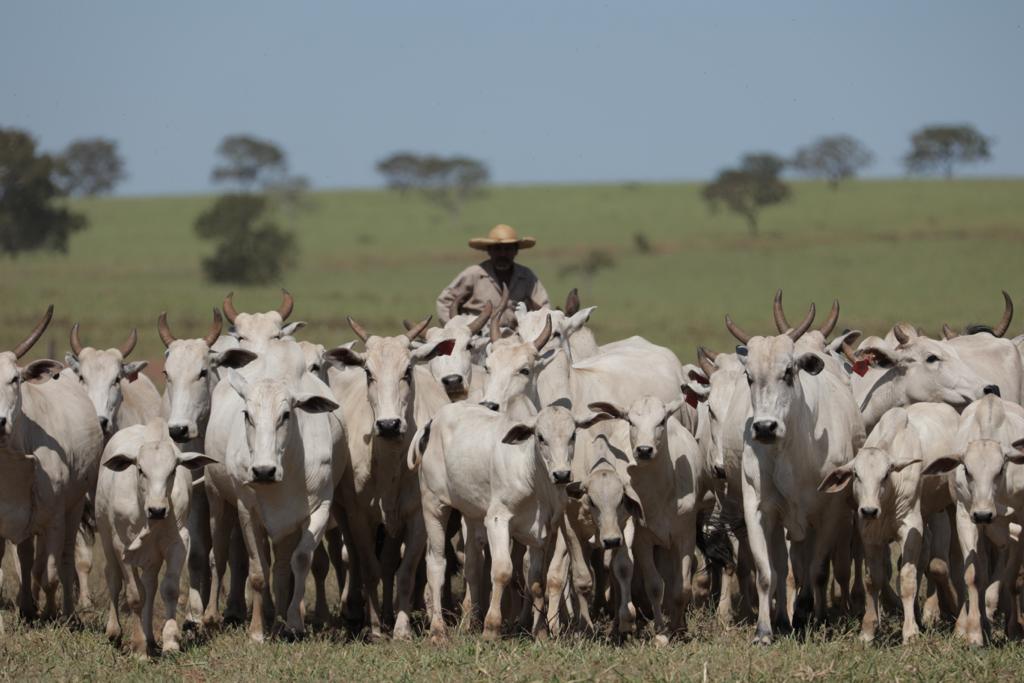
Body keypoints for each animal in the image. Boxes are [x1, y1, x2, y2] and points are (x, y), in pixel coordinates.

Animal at [97, 417, 216, 655]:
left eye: (172, 471)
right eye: (141, 469)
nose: (158, 510)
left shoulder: (179, 542)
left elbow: (168, 589)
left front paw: (170, 641)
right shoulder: (122, 546)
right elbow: (134, 595)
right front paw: (139, 648)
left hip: (152, 556)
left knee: (150, 587)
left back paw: (150, 638)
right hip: (105, 535)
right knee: (113, 578)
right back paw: (115, 632)